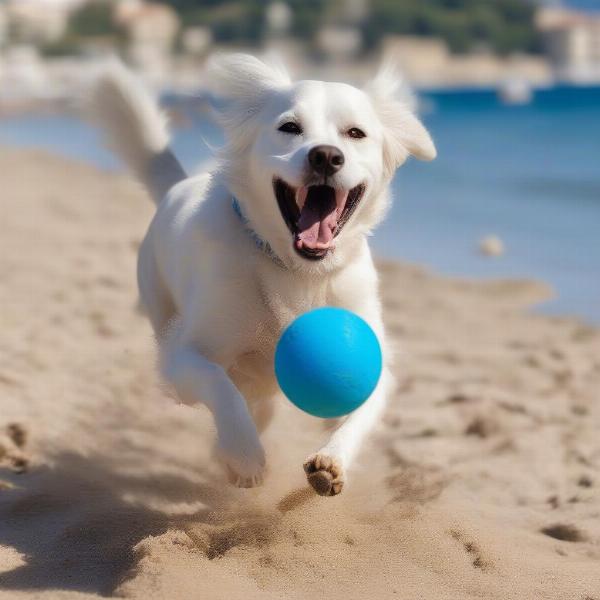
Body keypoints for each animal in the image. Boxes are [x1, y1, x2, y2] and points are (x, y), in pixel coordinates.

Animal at [88, 55, 436, 496]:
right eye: (290, 128)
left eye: (355, 133)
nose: (326, 156)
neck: (299, 272)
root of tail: (177, 185)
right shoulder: (183, 355)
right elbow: (219, 387)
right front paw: (244, 456)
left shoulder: (373, 362)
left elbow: (359, 415)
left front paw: (332, 461)